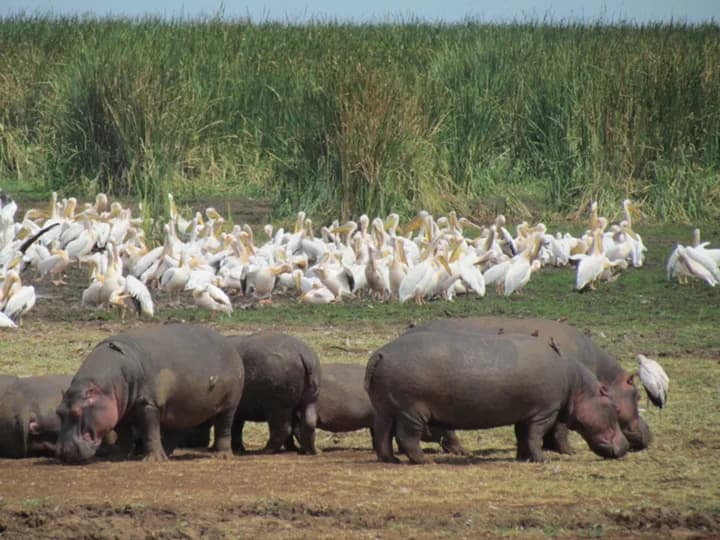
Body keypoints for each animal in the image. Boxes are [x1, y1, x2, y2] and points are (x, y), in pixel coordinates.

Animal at [56, 324, 245, 463]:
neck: (105, 387)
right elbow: (124, 435)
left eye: (76, 412)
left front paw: (152, 460)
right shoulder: (121, 409)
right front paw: (118, 457)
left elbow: (150, 431)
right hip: (180, 407)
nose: (64, 452)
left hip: (229, 405)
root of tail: (229, 344)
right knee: (174, 432)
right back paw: (166, 455)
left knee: (224, 427)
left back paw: (222, 455)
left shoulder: (148, 404)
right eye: (58, 412)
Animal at [365, 331, 630, 464]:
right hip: (411, 411)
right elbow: (536, 435)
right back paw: (423, 461)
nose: (628, 446)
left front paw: (523, 458)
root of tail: (381, 353)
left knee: (383, 435)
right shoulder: (545, 412)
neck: (576, 385)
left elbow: (522, 435)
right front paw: (542, 459)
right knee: (407, 437)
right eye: (614, 408)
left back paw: (391, 460)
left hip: (386, 408)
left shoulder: (526, 413)